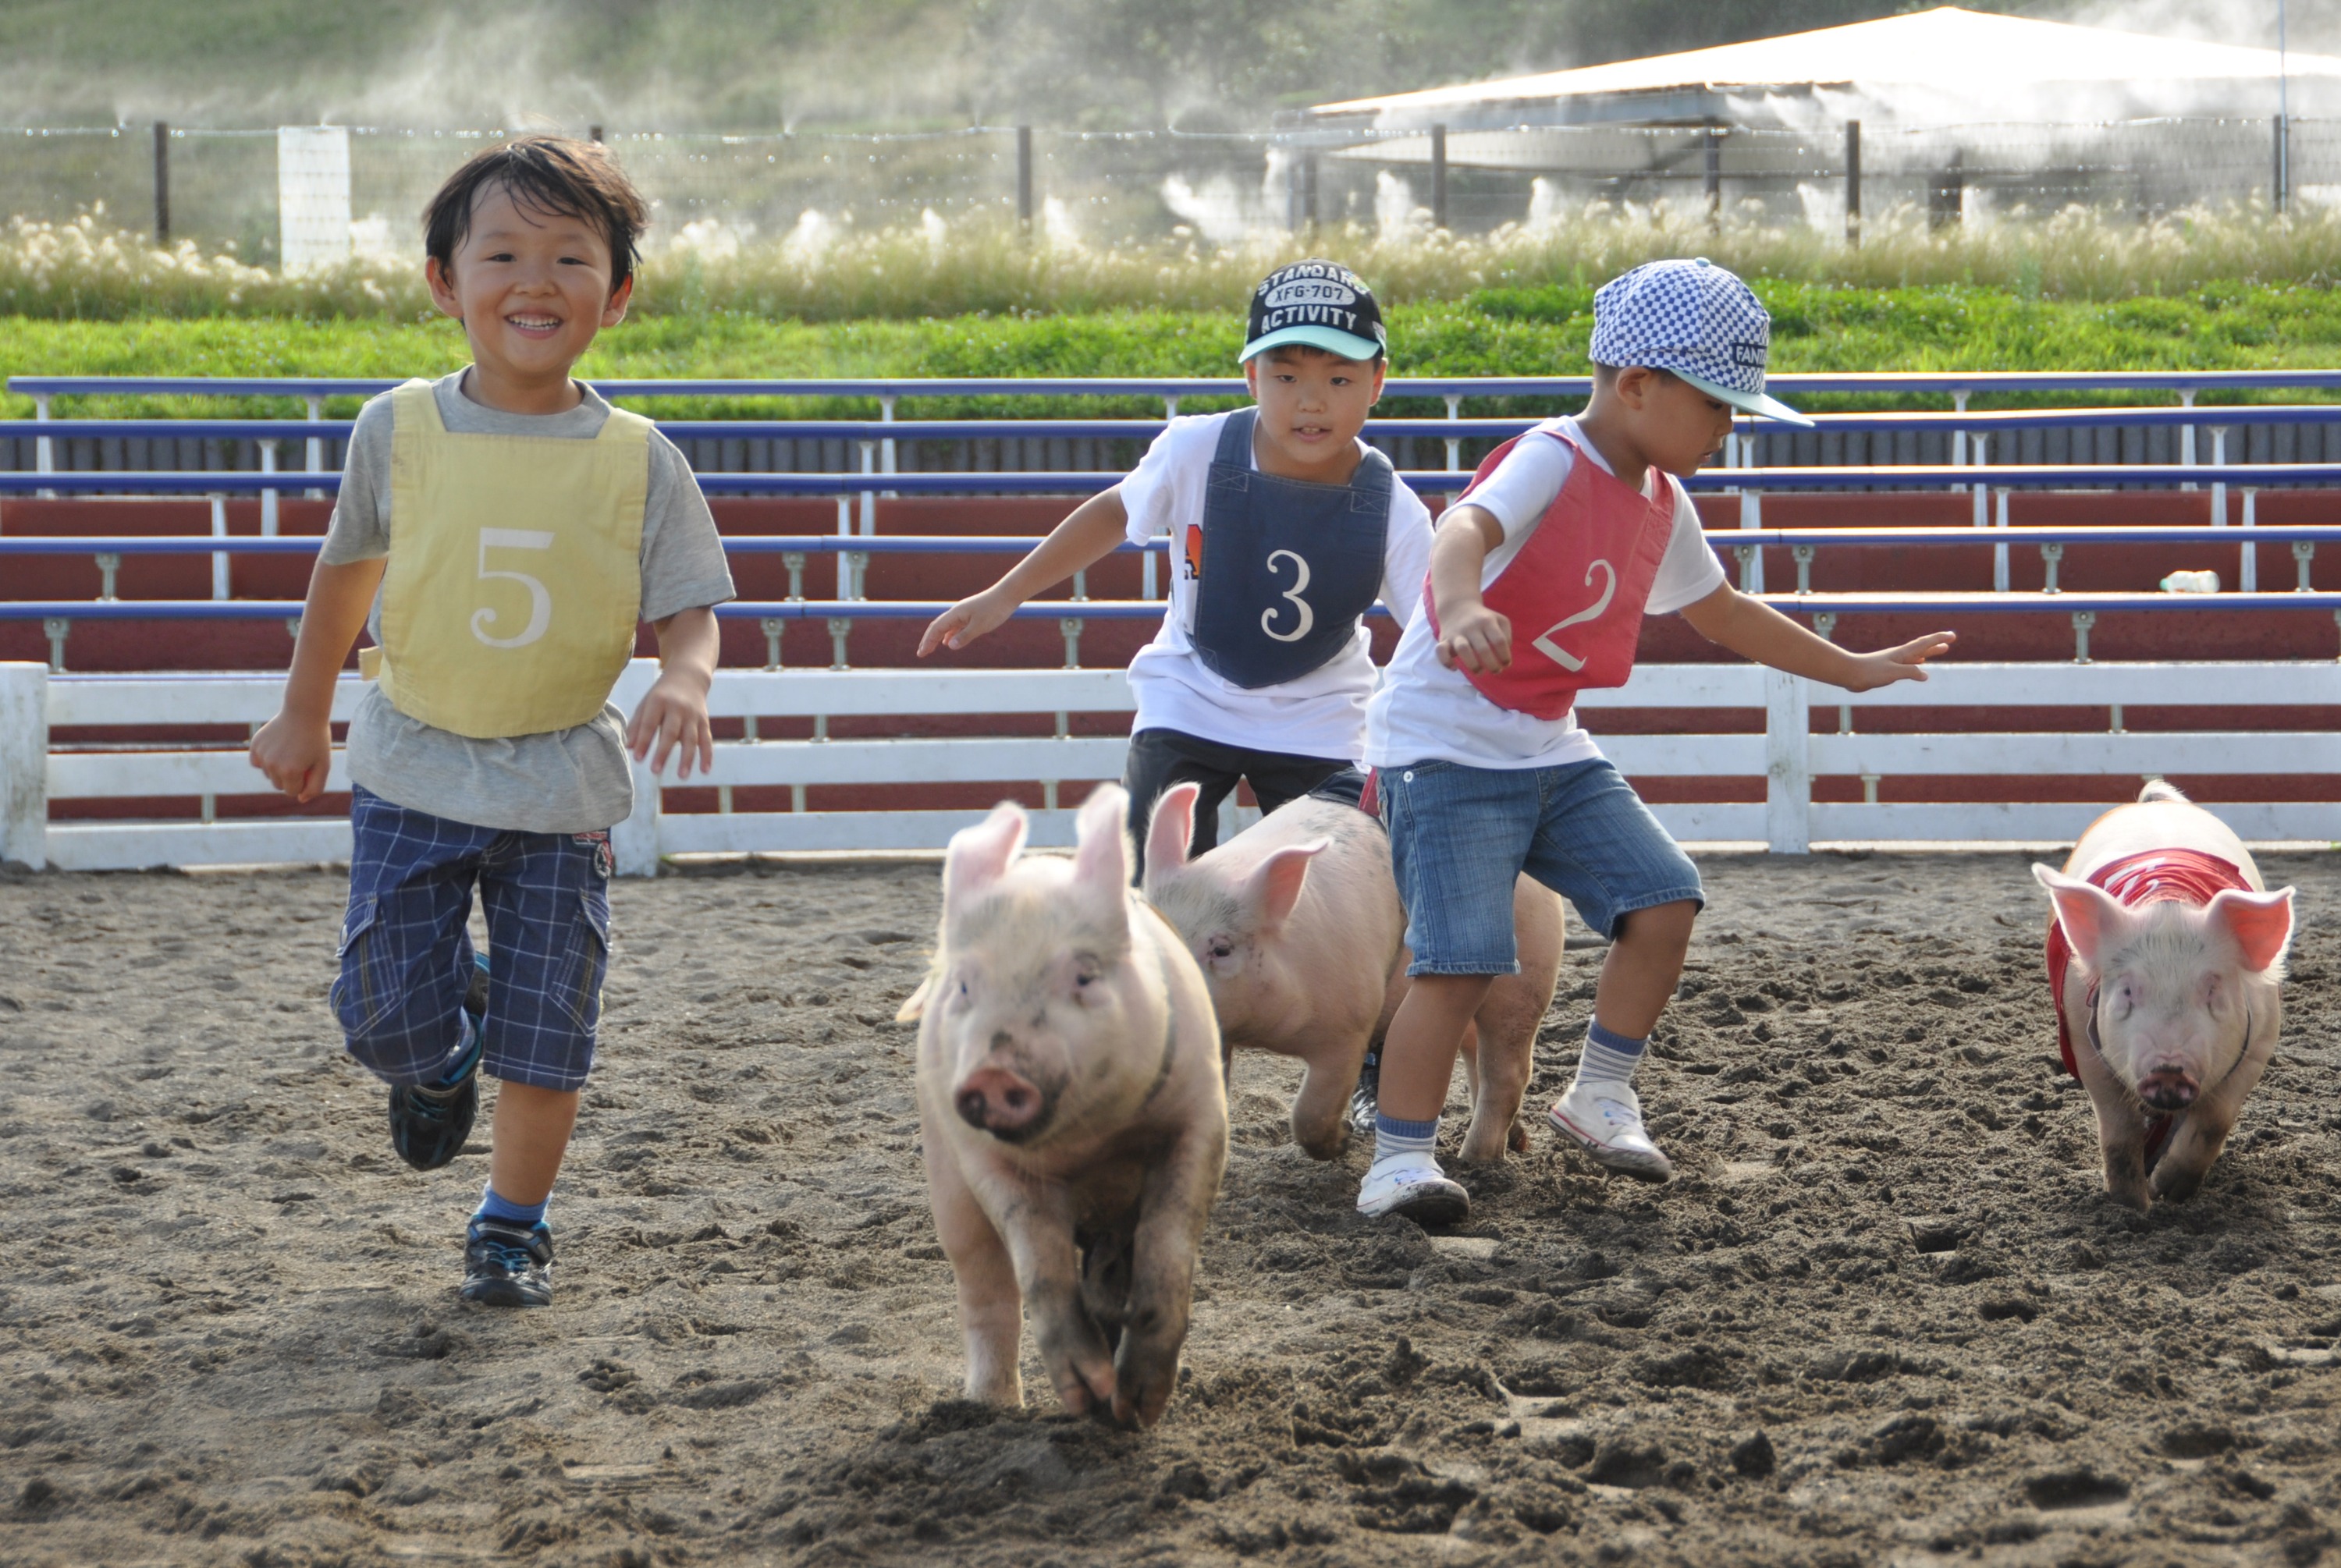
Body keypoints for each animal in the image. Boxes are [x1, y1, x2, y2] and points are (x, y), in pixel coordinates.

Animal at [894, 791, 1227, 1432]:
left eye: (1084, 975)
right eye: (966, 986)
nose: (995, 1073)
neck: (1090, 1143)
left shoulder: (1201, 1115)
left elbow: (1169, 1241)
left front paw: (1138, 1408)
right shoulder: (984, 1157)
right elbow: (1040, 1267)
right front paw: (1086, 1396)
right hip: (946, 1180)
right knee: (985, 1288)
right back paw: (991, 1408)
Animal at [1142, 782, 1564, 1165]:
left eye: (1222, 949)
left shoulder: (1349, 1025)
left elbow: (1311, 1111)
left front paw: (1342, 1143)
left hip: (1525, 978)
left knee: (1508, 1068)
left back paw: (1475, 1160)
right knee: (1476, 1055)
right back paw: (1514, 1141)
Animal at [2041, 786, 2294, 1217]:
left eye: (2211, 989)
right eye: (2128, 990)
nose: (2169, 1069)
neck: (2168, 904)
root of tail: (2153, 802)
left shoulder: (2261, 1039)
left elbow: (2214, 1118)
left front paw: (2169, 1193)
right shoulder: (2081, 1038)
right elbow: (2119, 1128)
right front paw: (2134, 1206)